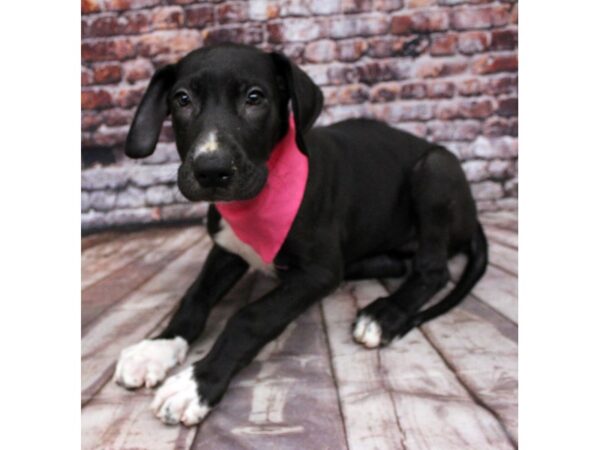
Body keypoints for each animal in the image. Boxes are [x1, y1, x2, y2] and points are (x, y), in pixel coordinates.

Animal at [113, 44, 488, 428]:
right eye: (182, 99)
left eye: (254, 98)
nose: (211, 170)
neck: (254, 201)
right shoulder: (228, 250)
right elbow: (194, 297)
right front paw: (156, 347)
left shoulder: (317, 272)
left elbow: (249, 318)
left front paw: (196, 383)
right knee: (395, 265)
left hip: (434, 169)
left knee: (433, 270)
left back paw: (385, 314)